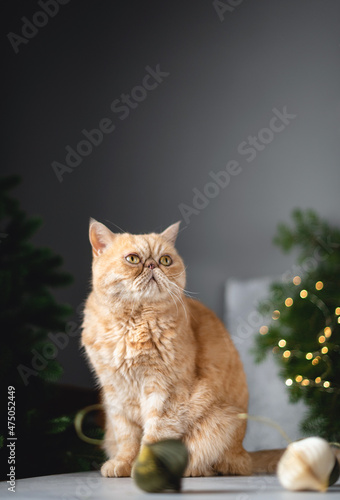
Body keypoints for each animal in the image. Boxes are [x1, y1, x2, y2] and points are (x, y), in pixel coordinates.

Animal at [81, 221, 252, 478]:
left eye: (165, 260)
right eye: (133, 259)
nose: (152, 264)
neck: (133, 324)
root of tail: (243, 452)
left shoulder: (165, 391)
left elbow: (154, 434)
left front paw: (143, 468)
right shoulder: (115, 392)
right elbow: (127, 437)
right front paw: (122, 464)